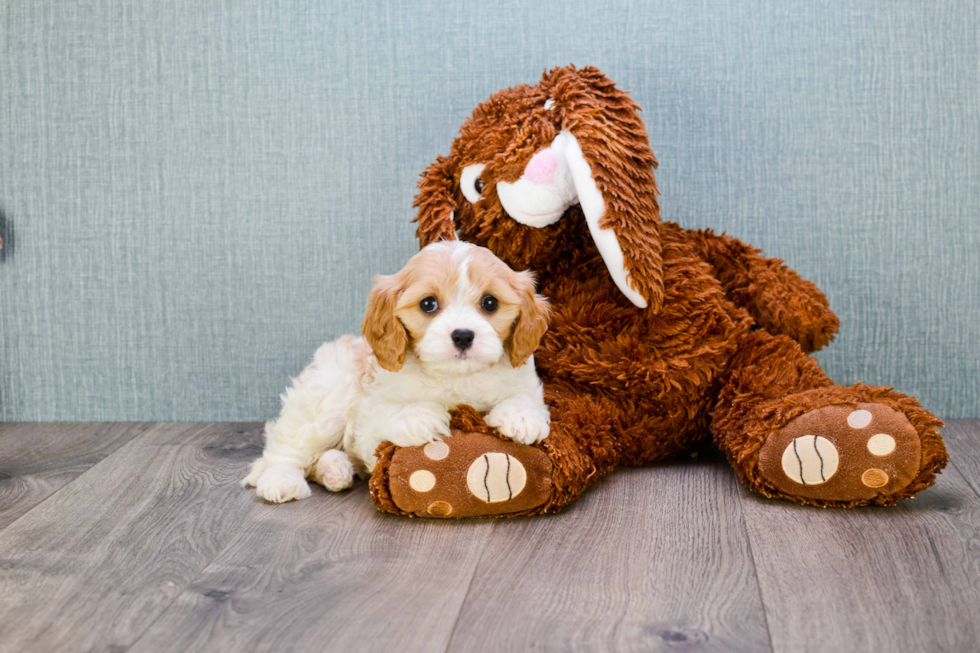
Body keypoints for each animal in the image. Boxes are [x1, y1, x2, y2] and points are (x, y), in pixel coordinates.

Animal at [241, 242, 552, 502]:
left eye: (490, 302)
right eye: (428, 304)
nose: (463, 335)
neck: (454, 377)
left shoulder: (523, 377)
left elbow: (523, 396)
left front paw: (521, 417)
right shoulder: (368, 422)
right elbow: (388, 414)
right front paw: (420, 416)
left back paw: (335, 470)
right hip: (325, 402)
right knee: (288, 448)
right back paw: (282, 480)